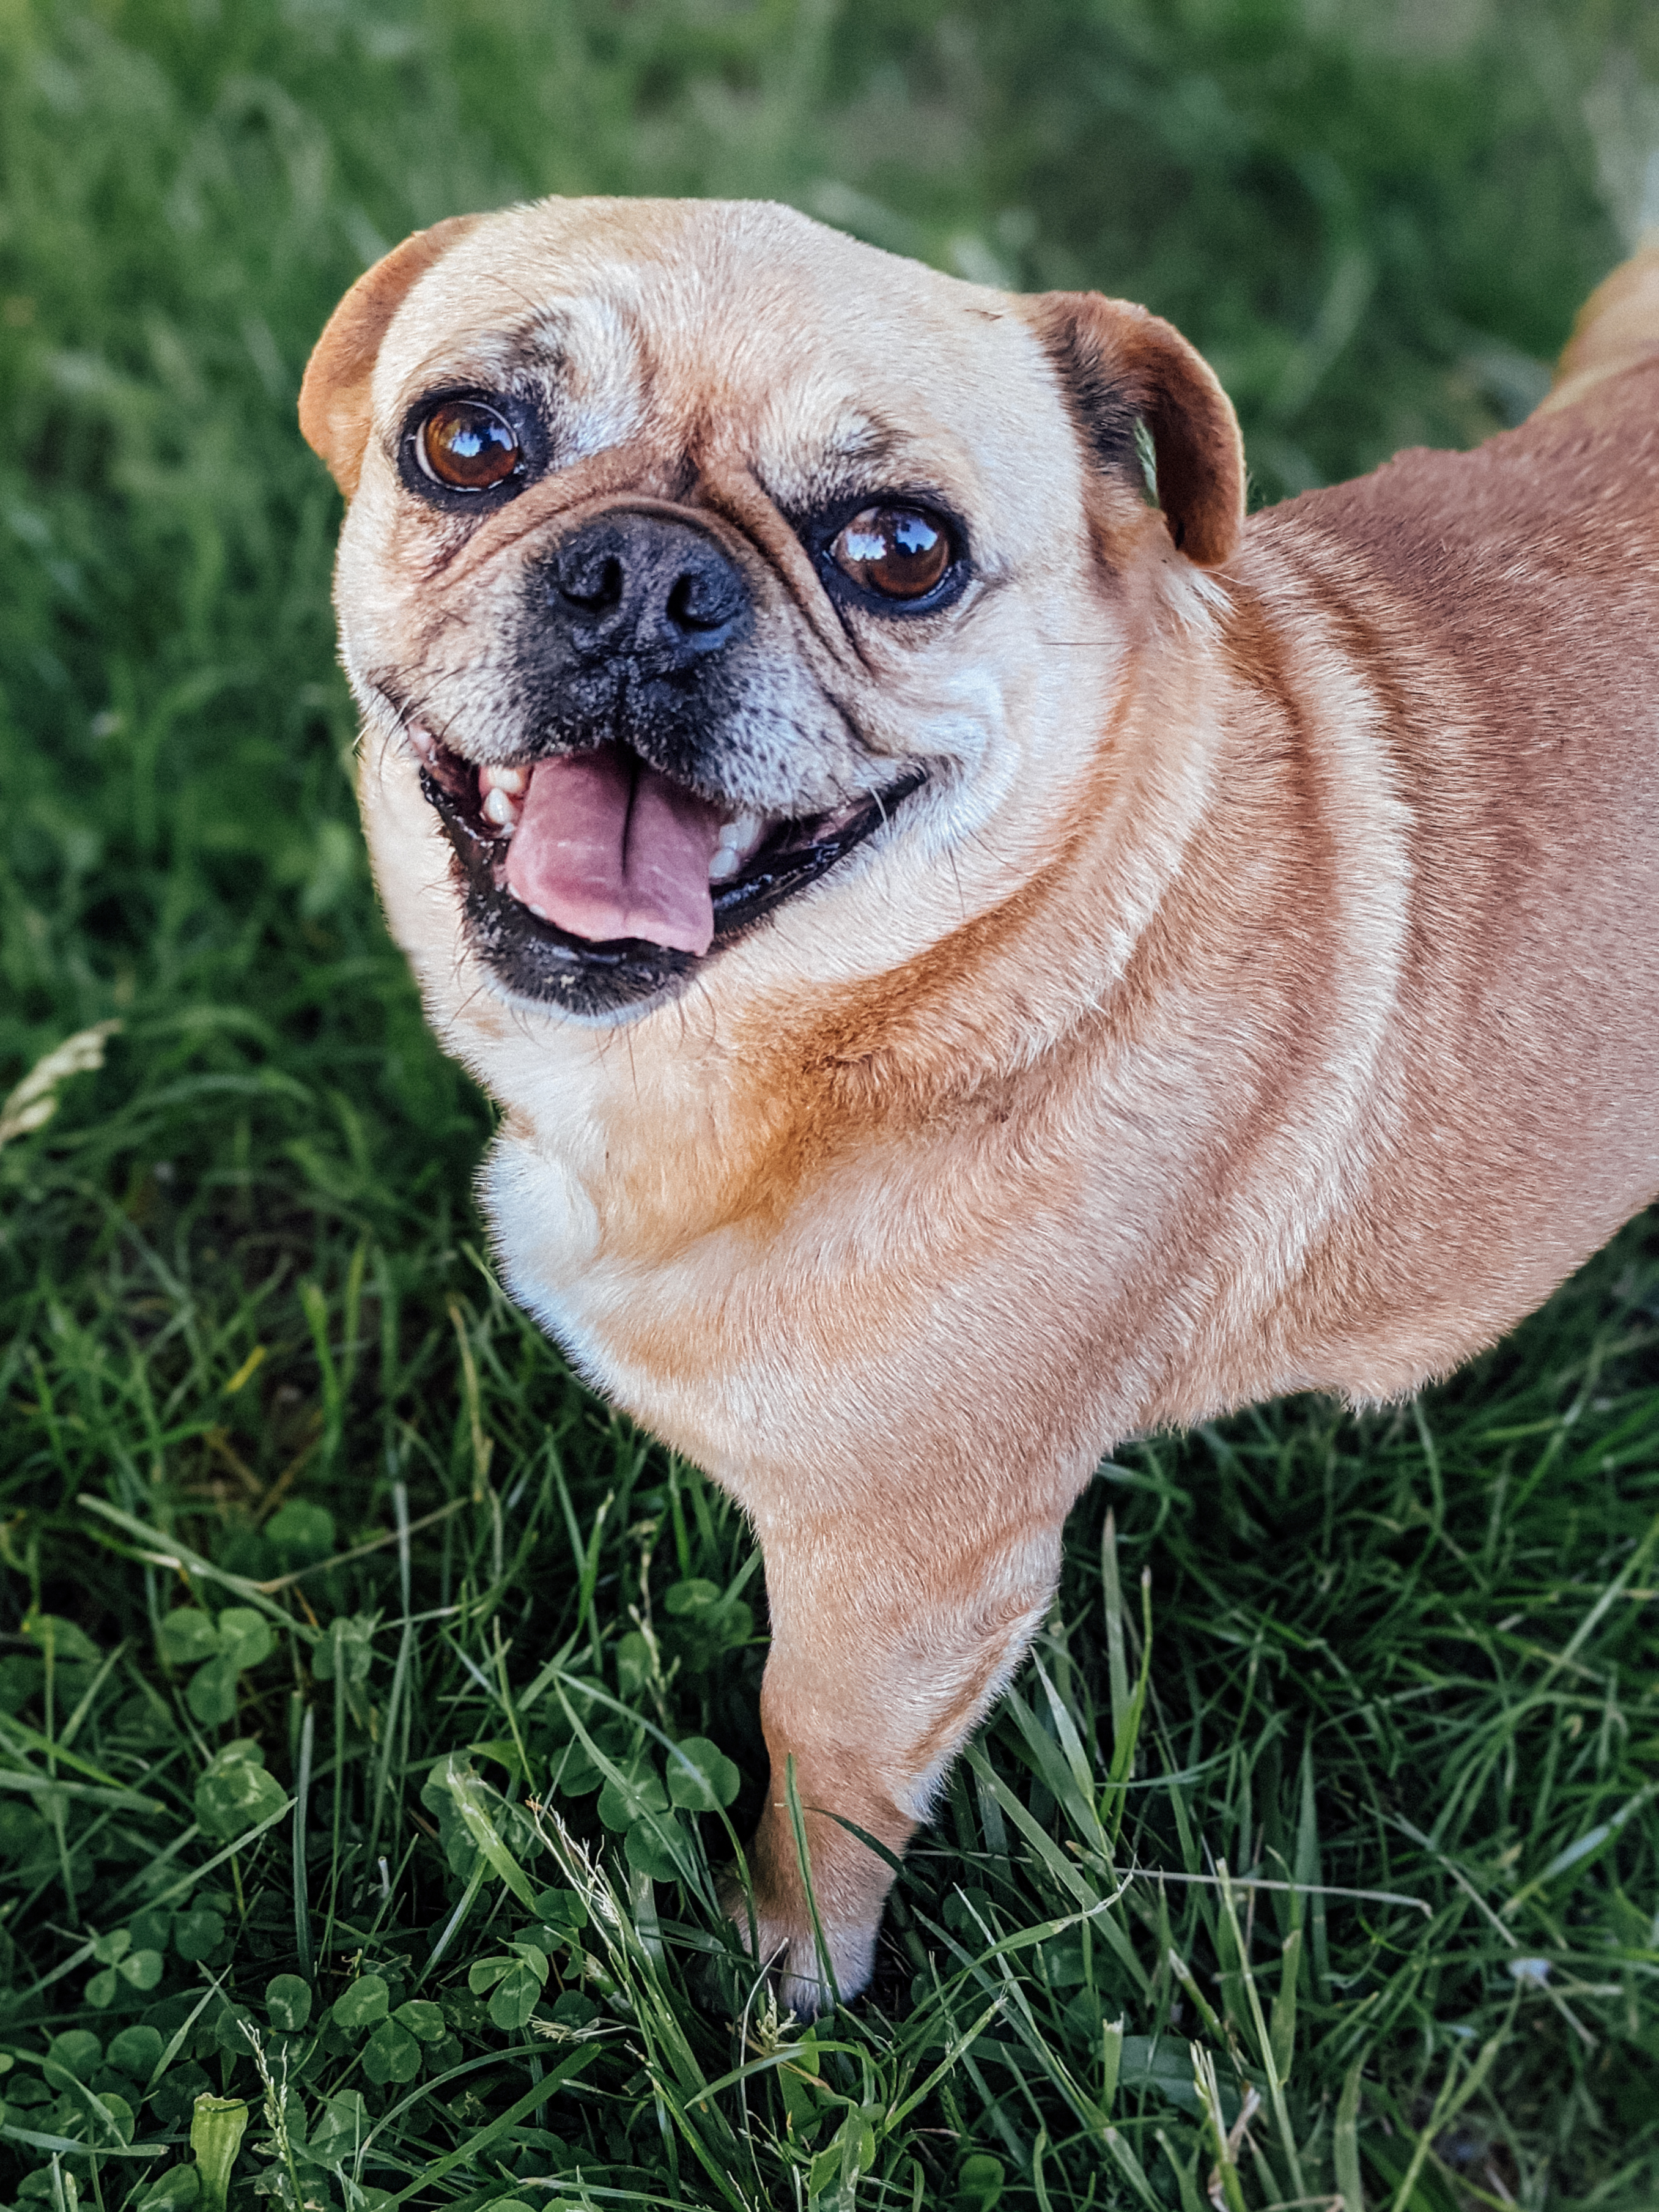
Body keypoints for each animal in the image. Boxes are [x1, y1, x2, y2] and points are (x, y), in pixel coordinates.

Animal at [298, 203, 1659, 2008]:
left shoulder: (909, 1584)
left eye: (899, 552)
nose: (648, 576)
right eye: (464, 443)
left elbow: (821, 1779)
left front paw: (787, 1989)